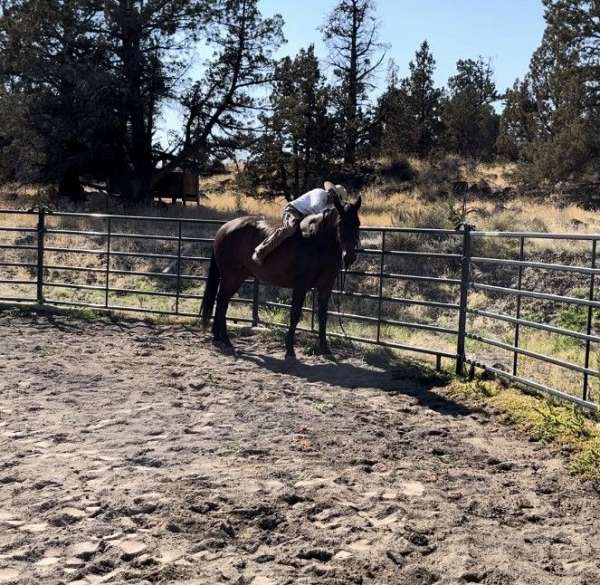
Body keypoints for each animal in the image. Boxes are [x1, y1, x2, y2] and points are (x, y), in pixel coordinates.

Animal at [202, 196, 360, 356]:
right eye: (340, 223)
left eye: (357, 224)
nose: (350, 257)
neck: (317, 243)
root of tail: (224, 228)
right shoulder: (300, 286)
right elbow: (295, 314)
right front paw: (289, 349)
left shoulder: (326, 287)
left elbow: (323, 316)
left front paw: (325, 349)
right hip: (230, 276)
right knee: (222, 302)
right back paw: (226, 340)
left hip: (236, 277)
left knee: (222, 302)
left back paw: (218, 337)